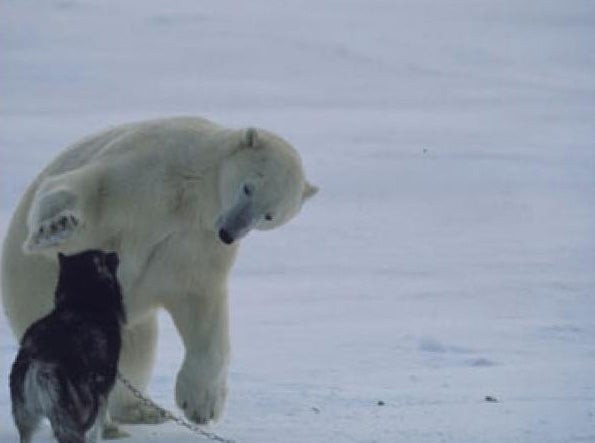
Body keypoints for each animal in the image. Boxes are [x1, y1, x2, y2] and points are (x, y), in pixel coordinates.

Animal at [9, 250, 124, 443]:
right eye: (102, 256)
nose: (115, 253)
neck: (80, 302)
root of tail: (38, 364)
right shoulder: (102, 394)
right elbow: (97, 430)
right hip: (71, 418)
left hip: (26, 419)